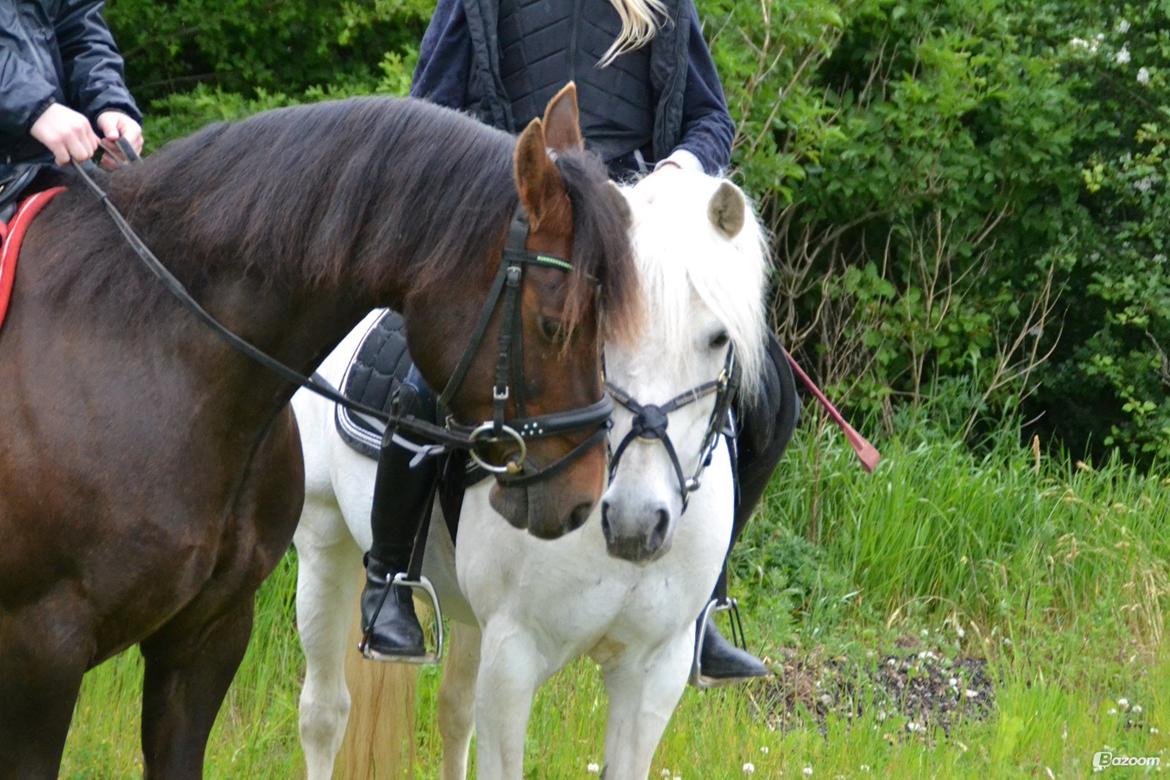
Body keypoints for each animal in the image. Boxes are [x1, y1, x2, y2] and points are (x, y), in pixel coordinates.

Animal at [292, 170, 767, 780]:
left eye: (718, 337)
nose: (635, 522)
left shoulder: (653, 672)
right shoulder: (512, 659)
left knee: (453, 713)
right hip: (324, 542)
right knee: (325, 713)